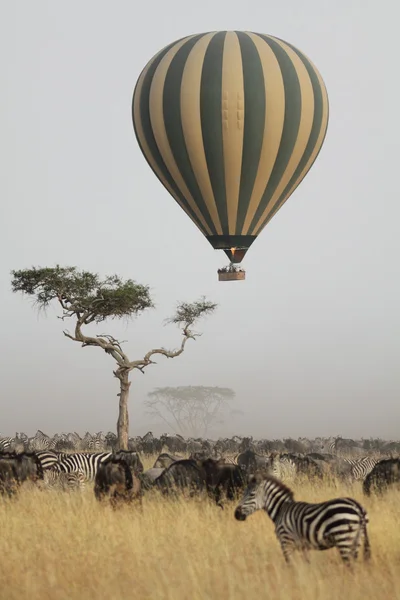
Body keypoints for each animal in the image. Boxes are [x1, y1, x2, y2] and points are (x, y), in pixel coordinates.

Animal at [234, 472, 372, 564]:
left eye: (251, 494)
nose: (236, 514)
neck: (281, 510)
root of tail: (357, 507)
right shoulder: (303, 547)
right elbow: (306, 565)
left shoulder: (286, 542)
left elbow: (290, 566)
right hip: (356, 540)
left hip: (343, 537)